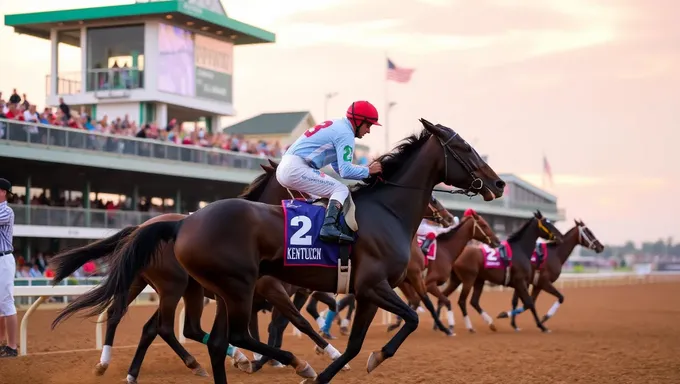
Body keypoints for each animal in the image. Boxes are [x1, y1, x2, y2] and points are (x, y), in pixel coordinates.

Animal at [49, 161, 346, 380]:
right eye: (299, 187)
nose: (319, 202)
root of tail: (142, 227)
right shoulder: (269, 289)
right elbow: (297, 321)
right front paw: (328, 354)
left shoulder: (267, 293)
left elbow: (281, 323)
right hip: (173, 286)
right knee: (163, 327)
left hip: (142, 282)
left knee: (128, 318)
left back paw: (121, 368)